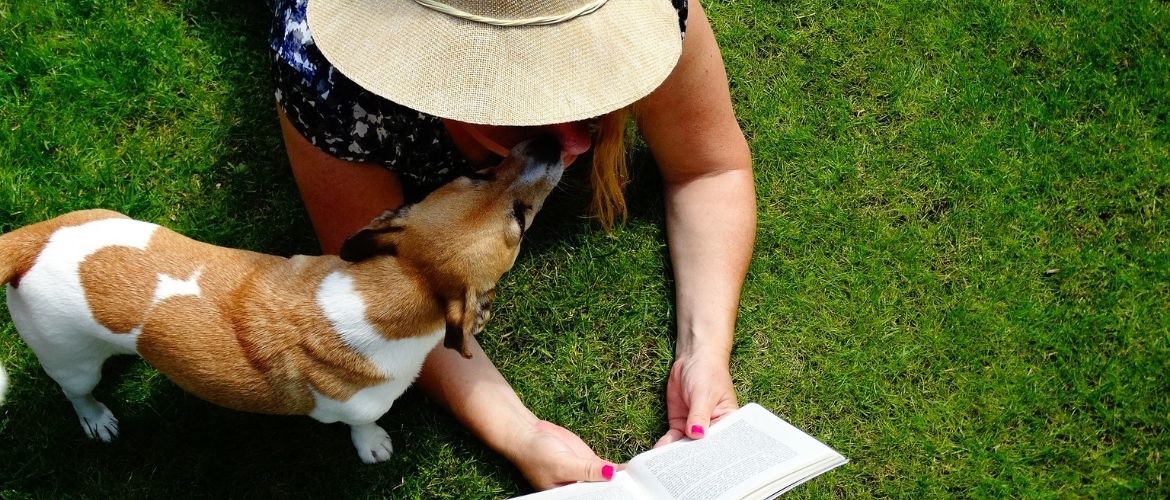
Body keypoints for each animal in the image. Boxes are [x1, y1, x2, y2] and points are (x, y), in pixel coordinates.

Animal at [0, 138, 566, 466]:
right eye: (519, 221)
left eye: (478, 174)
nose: (551, 140)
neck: (398, 283)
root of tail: (32, 241)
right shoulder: (357, 407)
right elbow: (361, 425)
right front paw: (372, 445)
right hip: (69, 362)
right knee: (76, 392)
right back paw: (96, 417)